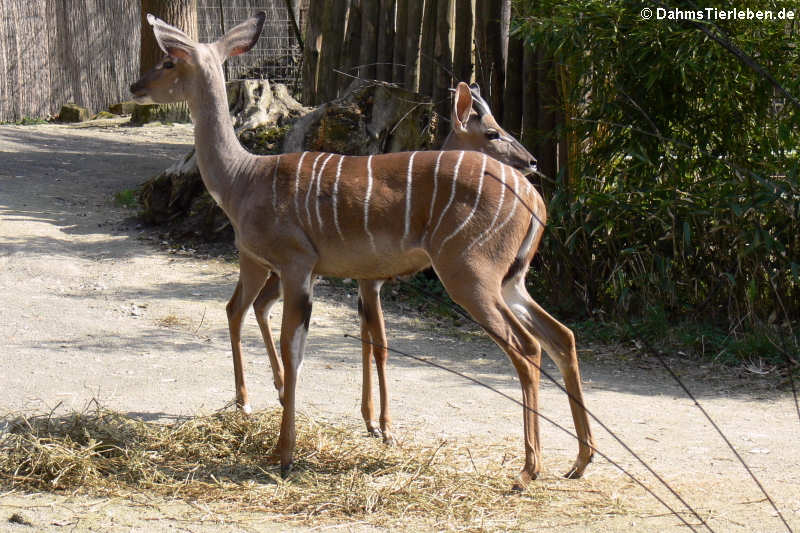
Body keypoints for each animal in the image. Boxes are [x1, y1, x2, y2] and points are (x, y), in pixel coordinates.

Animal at [131, 11, 592, 486]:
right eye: (493, 132)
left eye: (168, 61)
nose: (134, 87)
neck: (243, 176)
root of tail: (534, 199)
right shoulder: (339, 276)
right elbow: (344, 341)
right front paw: (366, 427)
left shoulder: (297, 266)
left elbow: (299, 348)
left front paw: (287, 452)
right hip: (510, 281)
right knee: (562, 335)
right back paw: (578, 462)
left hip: (470, 276)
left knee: (528, 347)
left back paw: (529, 469)